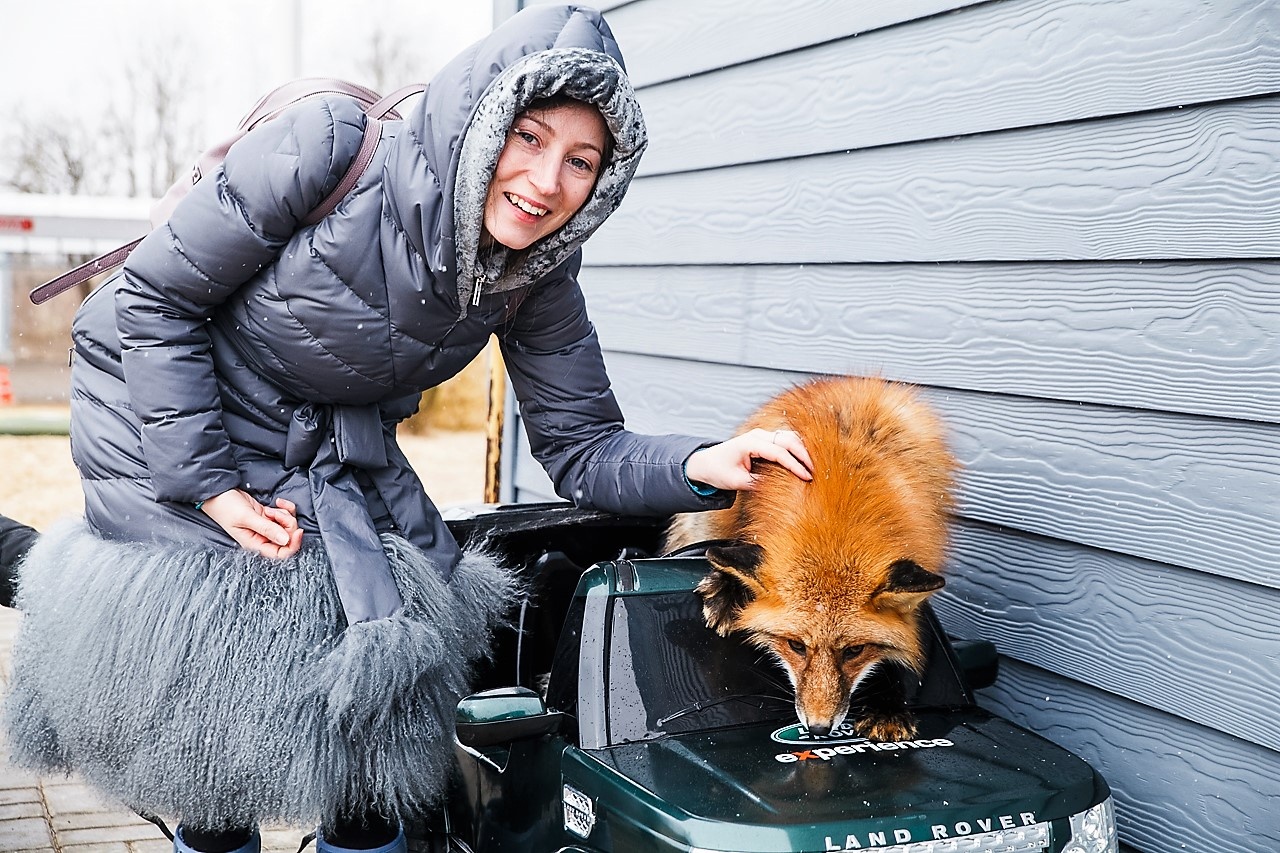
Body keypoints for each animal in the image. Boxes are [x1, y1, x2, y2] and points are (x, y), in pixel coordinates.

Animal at [665, 371, 957, 737]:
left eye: (855, 651)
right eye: (796, 646)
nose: (818, 728)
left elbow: (903, 636)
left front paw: (888, 705)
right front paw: (727, 590)